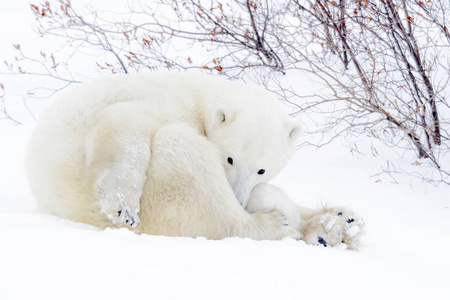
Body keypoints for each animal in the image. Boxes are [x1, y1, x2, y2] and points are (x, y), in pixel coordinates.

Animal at [26, 71, 304, 240]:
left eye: (261, 170)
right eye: (230, 159)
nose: (239, 199)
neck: (199, 96)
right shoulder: (157, 102)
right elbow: (123, 122)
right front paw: (124, 208)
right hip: (157, 197)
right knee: (187, 159)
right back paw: (273, 223)